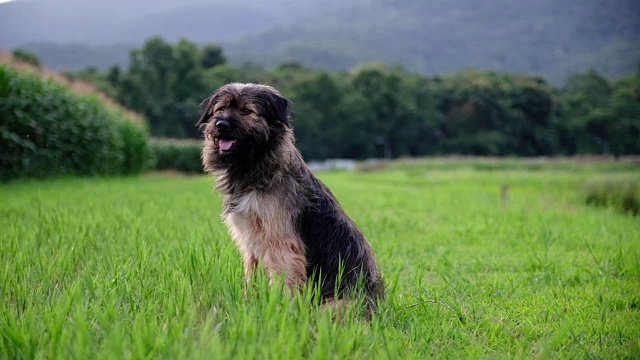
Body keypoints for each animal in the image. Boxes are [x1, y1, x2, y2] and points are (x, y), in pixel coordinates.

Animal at [198, 82, 382, 312]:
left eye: (247, 111)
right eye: (220, 109)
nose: (221, 125)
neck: (258, 170)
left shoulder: (282, 243)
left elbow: (284, 282)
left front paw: (282, 311)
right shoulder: (251, 241)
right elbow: (252, 278)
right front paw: (249, 305)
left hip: (335, 304)